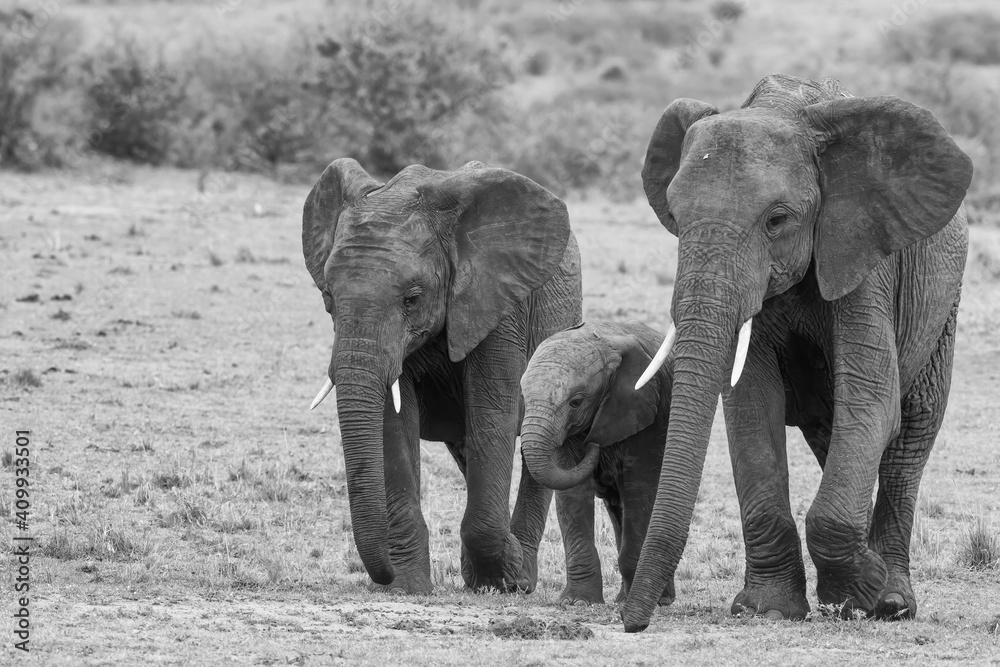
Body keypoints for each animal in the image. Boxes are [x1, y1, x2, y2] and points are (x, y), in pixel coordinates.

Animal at [306, 158, 584, 596]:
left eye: (412, 298)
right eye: (328, 298)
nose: (383, 575)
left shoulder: (499, 302)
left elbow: (491, 411)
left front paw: (504, 577)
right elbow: (392, 420)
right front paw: (407, 587)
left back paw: (519, 574)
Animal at [520, 320, 676, 604]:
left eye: (576, 402)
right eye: (523, 396)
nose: (592, 444)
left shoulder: (650, 408)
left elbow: (639, 489)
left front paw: (631, 602)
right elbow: (572, 494)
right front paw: (577, 602)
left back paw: (656, 599)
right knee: (617, 509)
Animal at [620, 74, 972, 632]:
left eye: (777, 220)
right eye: (674, 216)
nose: (632, 622)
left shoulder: (862, 254)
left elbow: (873, 398)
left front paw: (865, 594)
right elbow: (750, 406)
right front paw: (767, 609)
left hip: (944, 303)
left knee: (911, 431)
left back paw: (893, 601)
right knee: (838, 435)